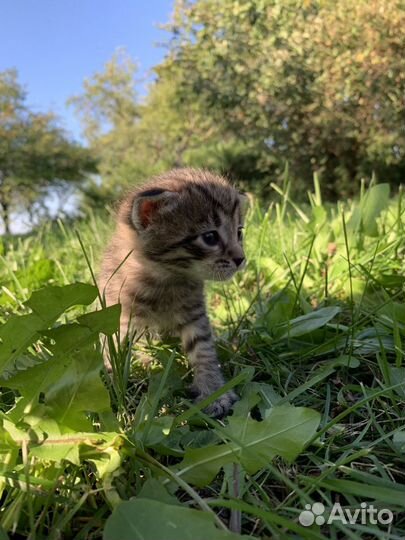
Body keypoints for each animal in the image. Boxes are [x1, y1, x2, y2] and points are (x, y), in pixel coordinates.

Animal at [98, 169, 246, 418]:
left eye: (239, 232)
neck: (165, 278)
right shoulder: (120, 315)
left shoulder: (194, 312)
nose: (241, 259)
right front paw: (111, 380)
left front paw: (214, 392)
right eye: (210, 237)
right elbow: (112, 349)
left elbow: (203, 350)